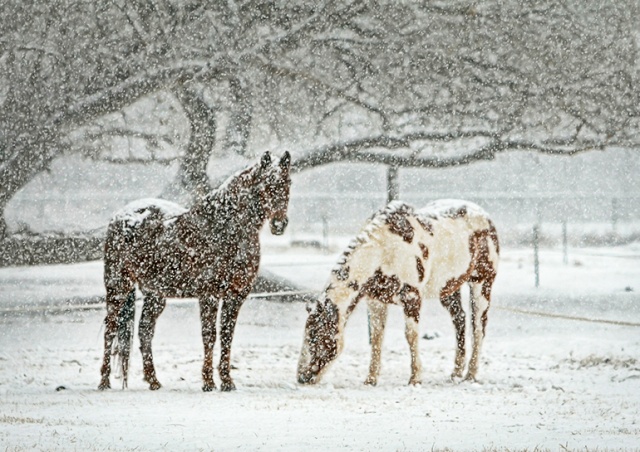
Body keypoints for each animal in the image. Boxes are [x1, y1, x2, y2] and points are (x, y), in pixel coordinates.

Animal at [99, 150, 292, 390]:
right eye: (265, 184)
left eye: (288, 182)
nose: (279, 224)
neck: (225, 229)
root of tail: (121, 216)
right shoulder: (209, 294)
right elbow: (209, 335)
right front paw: (208, 382)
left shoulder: (236, 295)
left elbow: (227, 335)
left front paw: (227, 381)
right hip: (118, 287)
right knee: (111, 329)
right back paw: (104, 381)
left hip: (155, 295)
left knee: (145, 331)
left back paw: (154, 381)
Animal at [298, 200, 498, 386]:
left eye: (316, 337)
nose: (302, 377)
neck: (384, 250)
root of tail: (485, 216)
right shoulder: (376, 301)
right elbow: (377, 337)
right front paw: (371, 379)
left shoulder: (412, 298)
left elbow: (411, 336)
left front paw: (415, 379)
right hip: (448, 289)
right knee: (460, 320)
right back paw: (456, 373)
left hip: (482, 283)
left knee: (478, 327)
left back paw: (471, 375)